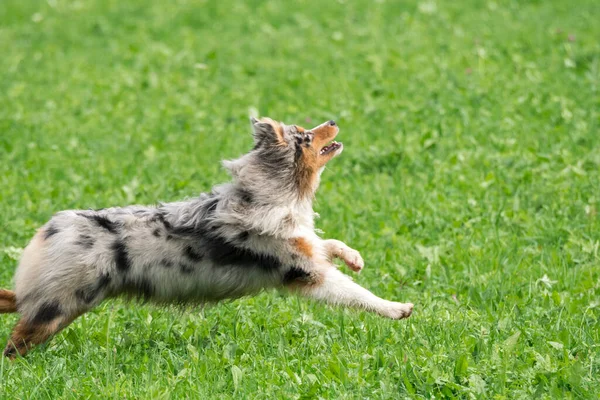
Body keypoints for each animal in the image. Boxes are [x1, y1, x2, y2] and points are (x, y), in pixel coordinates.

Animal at [0, 117, 412, 358]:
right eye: (307, 136)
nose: (333, 120)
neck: (272, 194)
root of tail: (50, 229)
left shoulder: (306, 248)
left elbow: (327, 244)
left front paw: (355, 256)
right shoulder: (306, 274)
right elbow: (357, 294)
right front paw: (398, 308)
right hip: (58, 307)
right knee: (14, 343)